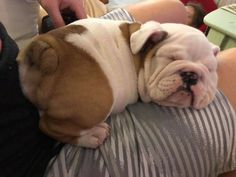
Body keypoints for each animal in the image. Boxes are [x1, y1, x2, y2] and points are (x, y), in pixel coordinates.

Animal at [18, 18, 219, 148]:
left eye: (210, 69)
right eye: (171, 58)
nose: (191, 75)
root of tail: (49, 51)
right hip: (101, 101)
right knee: (47, 125)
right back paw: (92, 136)